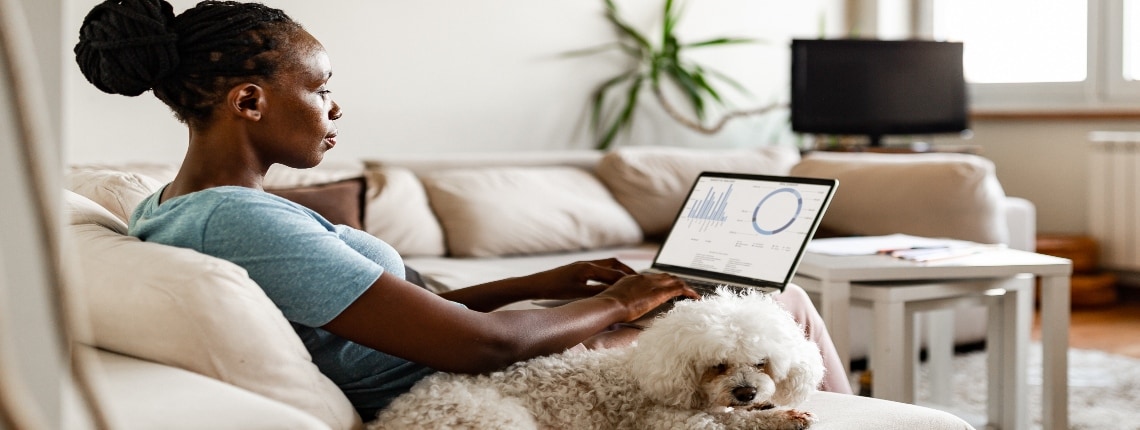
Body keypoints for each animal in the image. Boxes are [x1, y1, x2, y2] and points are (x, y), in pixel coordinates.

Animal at [369, 288, 825, 428]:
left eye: (762, 362)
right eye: (718, 365)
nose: (746, 393)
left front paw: (778, 411)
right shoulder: (674, 422)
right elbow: (730, 423)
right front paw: (770, 417)